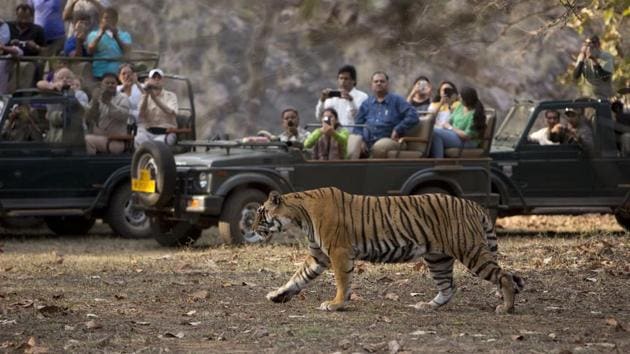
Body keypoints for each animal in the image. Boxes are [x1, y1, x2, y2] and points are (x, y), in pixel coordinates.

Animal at [254, 187, 524, 314]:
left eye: (261, 213)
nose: (253, 227)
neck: (299, 214)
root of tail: (473, 204)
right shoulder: (318, 256)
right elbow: (297, 277)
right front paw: (277, 295)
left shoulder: (338, 252)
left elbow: (342, 281)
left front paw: (336, 304)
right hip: (438, 258)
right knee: (448, 287)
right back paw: (427, 306)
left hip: (470, 250)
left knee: (504, 276)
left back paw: (506, 308)